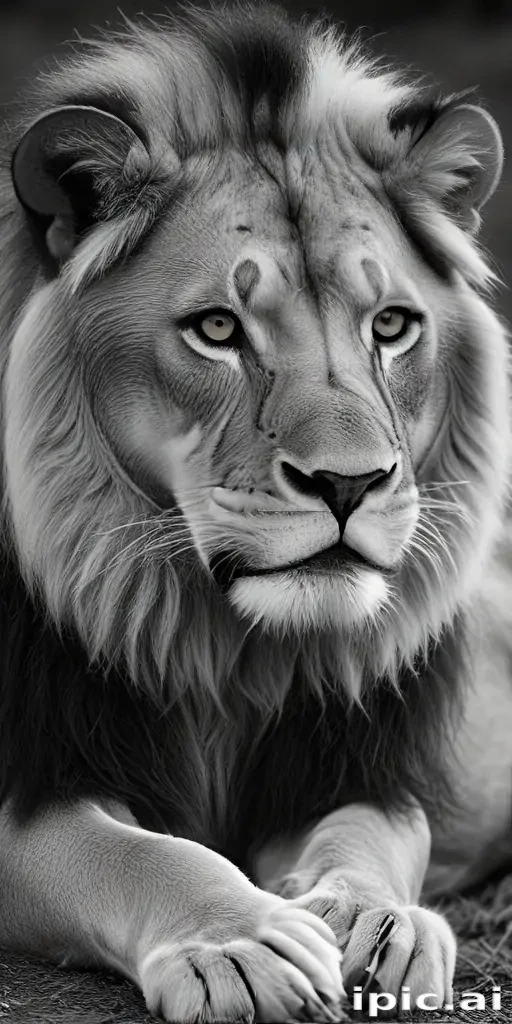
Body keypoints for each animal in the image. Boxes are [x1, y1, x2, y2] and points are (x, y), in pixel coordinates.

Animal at [0, 2, 510, 1020]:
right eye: (217, 330)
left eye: (390, 325)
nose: (350, 483)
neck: (225, 650)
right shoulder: (37, 775)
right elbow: (132, 853)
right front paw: (238, 943)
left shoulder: (358, 767)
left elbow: (371, 841)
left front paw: (379, 924)